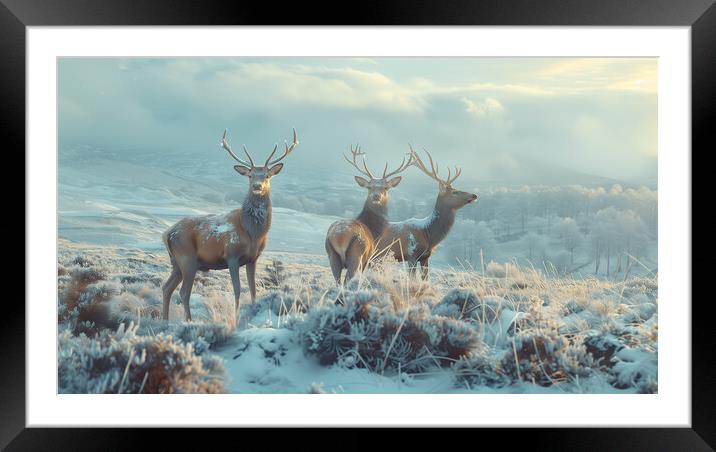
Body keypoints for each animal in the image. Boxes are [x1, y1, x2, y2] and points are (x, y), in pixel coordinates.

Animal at [161, 127, 298, 322]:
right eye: (250, 176)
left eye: (267, 175)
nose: (257, 186)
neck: (253, 233)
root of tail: (167, 234)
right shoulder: (231, 255)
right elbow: (237, 289)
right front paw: (236, 316)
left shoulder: (253, 258)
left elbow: (254, 290)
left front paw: (253, 311)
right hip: (187, 259)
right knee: (183, 292)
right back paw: (188, 320)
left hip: (176, 263)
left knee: (166, 288)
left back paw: (165, 320)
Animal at [326, 147, 414, 284]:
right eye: (369, 187)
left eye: (385, 187)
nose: (376, 196)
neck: (374, 230)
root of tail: (339, 237)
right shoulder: (368, 258)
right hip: (356, 255)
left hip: (332, 255)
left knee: (337, 282)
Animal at [384, 147, 478, 278]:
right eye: (454, 192)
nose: (474, 195)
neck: (429, 235)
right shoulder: (412, 255)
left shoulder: (425, 257)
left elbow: (426, 278)